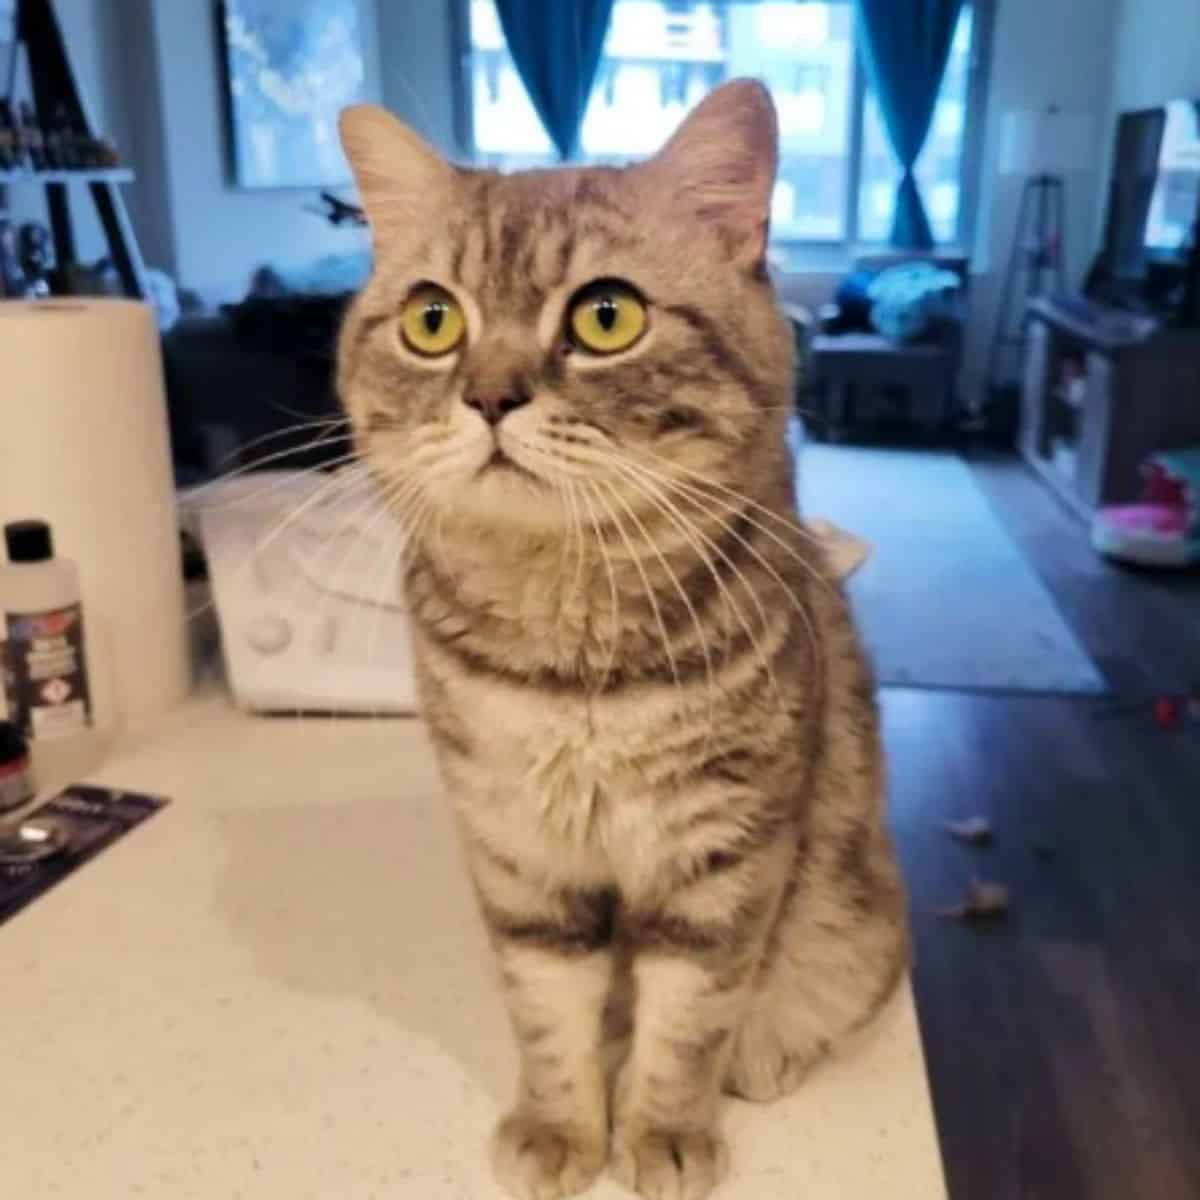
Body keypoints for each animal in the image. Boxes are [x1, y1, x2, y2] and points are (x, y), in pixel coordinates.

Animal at [333, 82, 902, 1200]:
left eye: (607, 317)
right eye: (432, 320)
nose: (490, 395)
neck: (569, 650)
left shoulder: (726, 854)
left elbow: (690, 1020)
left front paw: (664, 1134)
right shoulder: (518, 856)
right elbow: (547, 1010)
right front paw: (562, 1127)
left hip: (857, 924)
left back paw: (766, 1053)